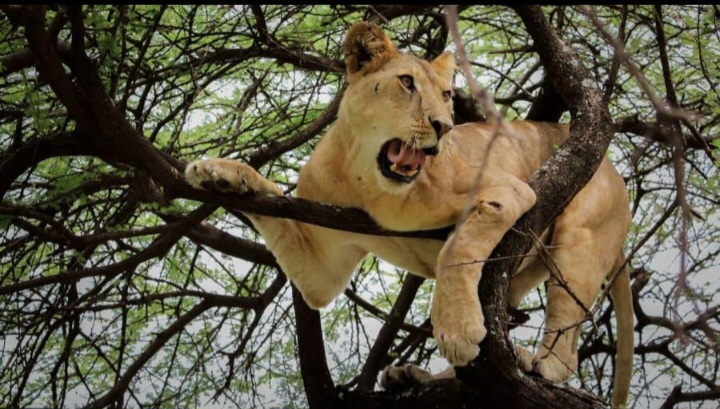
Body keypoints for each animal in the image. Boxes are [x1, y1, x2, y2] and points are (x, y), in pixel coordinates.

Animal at [185, 22, 634, 407]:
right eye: (406, 83)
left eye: (448, 95)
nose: (444, 126)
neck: (368, 180)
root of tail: (614, 168)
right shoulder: (322, 269)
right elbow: (276, 204)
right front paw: (220, 174)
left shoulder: (510, 189)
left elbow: (456, 249)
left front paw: (456, 328)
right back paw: (413, 376)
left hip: (578, 239)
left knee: (566, 334)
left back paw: (537, 364)